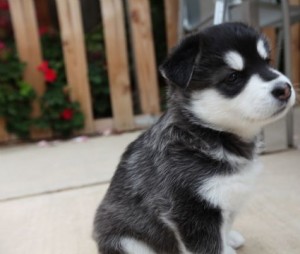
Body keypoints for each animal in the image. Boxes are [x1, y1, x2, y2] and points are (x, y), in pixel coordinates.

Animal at [93, 22, 296, 253]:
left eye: (267, 61)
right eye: (232, 77)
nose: (285, 89)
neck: (211, 134)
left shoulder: (227, 196)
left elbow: (225, 225)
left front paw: (228, 240)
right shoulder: (192, 210)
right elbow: (211, 245)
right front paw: (225, 249)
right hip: (126, 241)